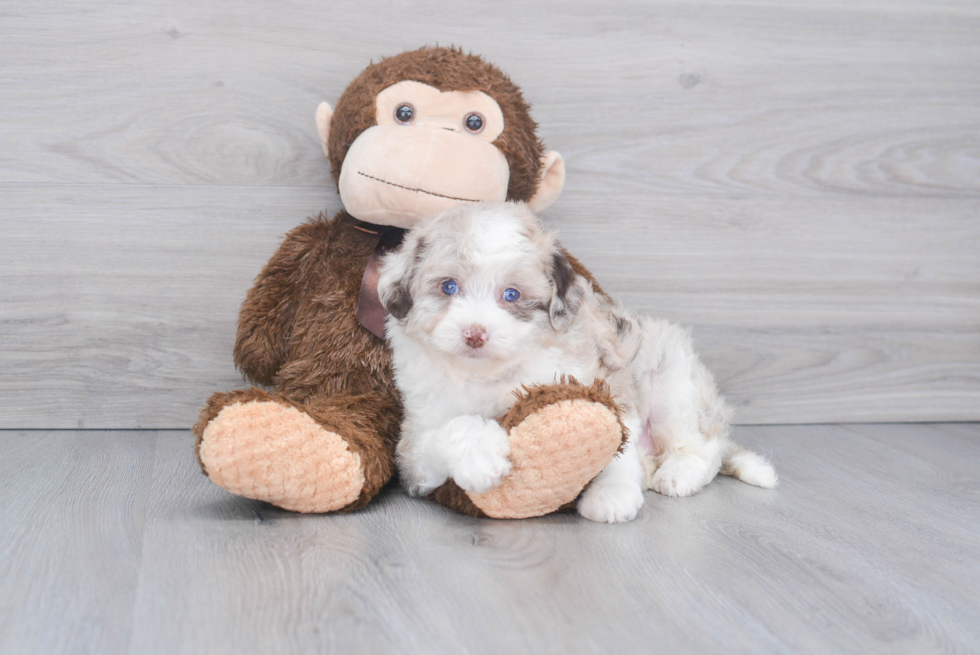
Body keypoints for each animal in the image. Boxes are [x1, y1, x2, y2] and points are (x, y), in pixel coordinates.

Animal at [378, 202, 776, 524]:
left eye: (512, 295)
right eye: (448, 287)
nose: (475, 334)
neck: (490, 374)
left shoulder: (604, 379)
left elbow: (618, 437)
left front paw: (611, 496)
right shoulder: (413, 446)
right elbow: (450, 430)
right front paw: (482, 459)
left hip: (673, 380)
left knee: (705, 446)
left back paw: (680, 473)